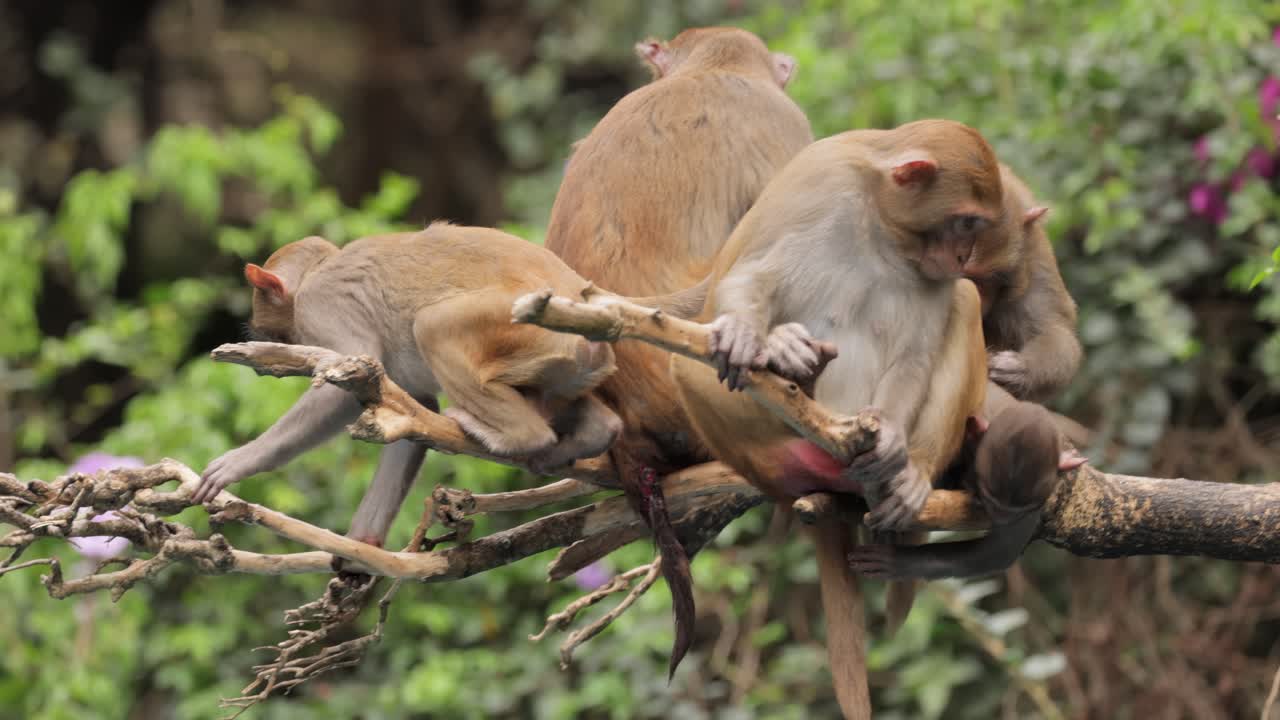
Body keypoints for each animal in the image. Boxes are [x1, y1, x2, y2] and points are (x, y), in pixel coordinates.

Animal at [192, 223, 623, 553]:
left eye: (278, 334)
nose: (284, 343)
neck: (320, 269)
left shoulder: (322, 305)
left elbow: (346, 380)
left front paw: (240, 461)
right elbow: (410, 407)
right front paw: (359, 548)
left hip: (524, 324)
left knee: (433, 325)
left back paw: (517, 435)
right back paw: (593, 433)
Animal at [669, 119, 1006, 719]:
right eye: (966, 221)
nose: (966, 254)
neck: (881, 222)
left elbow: (919, 346)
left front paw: (892, 440)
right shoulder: (820, 183)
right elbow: (750, 278)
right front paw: (748, 335)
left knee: (965, 301)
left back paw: (906, 472)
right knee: (689, 364)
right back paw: (793, 449)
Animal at [848, 395, 1088, 581]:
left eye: (1013, 511)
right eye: (992, 500)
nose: (1000, 517)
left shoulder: (1032, 508)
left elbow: (995, 552)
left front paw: (898, 561)